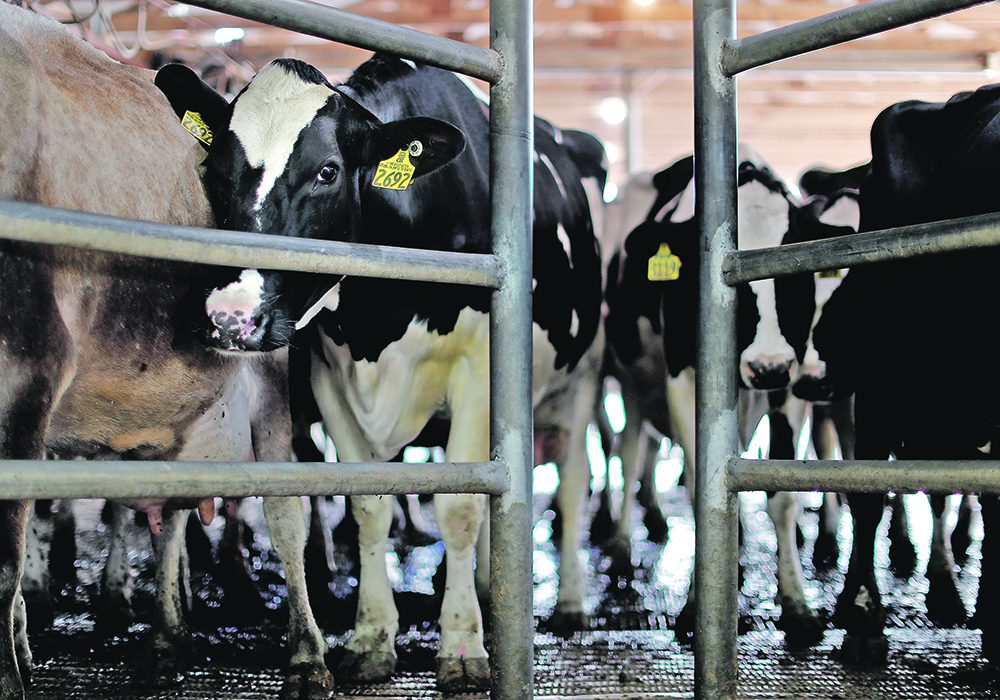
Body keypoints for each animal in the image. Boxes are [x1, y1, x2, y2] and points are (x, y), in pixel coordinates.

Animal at [0, 6, 331, 699]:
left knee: (285, 511)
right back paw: (164, 637)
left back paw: (307, 655)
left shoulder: (27, 370)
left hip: (267, 379)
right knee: (173, 506)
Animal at [155, 54, 607, 691]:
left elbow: (459, 508)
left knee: (569, 484)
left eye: (327, 171)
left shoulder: (479, 373)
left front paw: (462, 647)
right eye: (216, 168)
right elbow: (369, 506)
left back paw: (568, 602)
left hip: (583, 374)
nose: (230, 316)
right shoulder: (329, 373)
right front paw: (372, 638)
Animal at [603, 146, 861, 646]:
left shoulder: (791, 385)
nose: (766, 367)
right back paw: (623, 549)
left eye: (793, 269)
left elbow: (781, 496)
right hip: (631, 381)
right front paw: (695, 607)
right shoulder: (682, 381)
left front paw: (797, 605)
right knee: (629, 448)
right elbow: (699, 488)